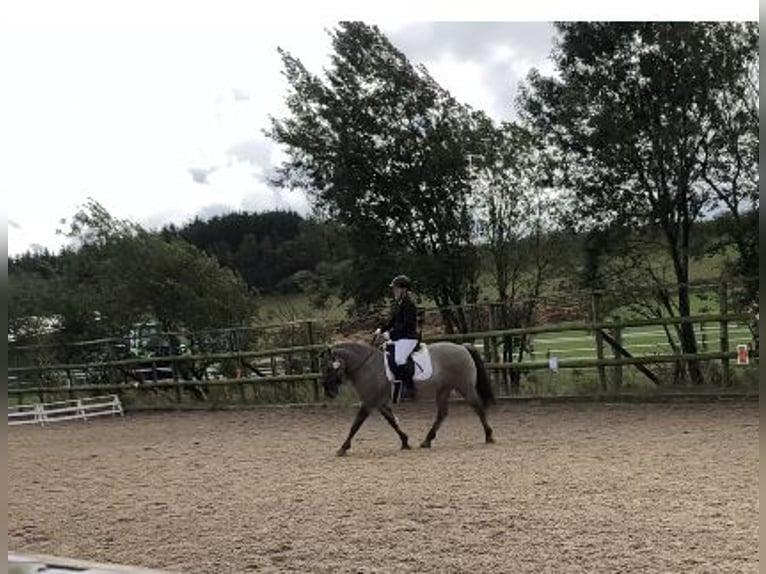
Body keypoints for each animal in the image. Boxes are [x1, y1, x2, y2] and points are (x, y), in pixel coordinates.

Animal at [320, 342, 496, 460]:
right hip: (443, 390)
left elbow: (355, 426)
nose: (329, 392)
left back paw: (489, 436)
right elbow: (393, 422)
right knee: (442, 414)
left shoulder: (369, 403)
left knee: (478, 408)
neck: (366, 366)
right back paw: (426, 441)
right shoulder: (380, 404)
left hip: (464, 388)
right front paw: (405, 442)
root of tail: (462, 347)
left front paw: (342, 448)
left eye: (328, 368)